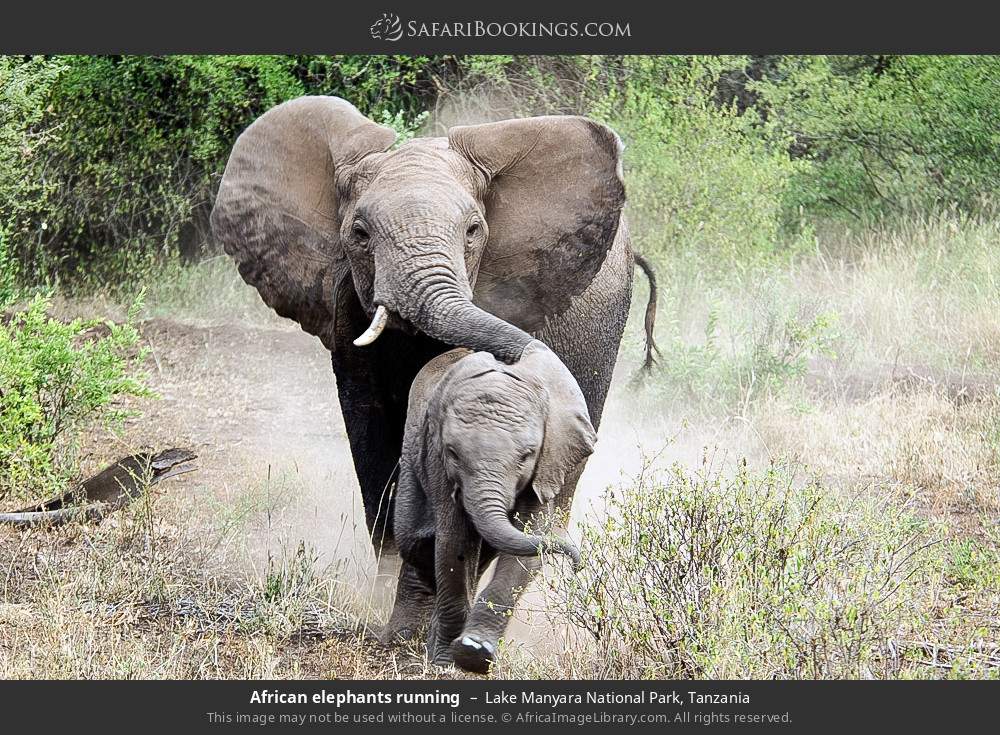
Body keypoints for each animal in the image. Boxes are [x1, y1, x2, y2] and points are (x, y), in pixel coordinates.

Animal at [386, 341, 595, 672]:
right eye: (452, 453)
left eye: (527, 454)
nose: (577, 565)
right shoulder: (438, 463)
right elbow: (453, 545)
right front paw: (446, 660)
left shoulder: (547, 465)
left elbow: (526, 550)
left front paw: (474, 651)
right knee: (414, 542)